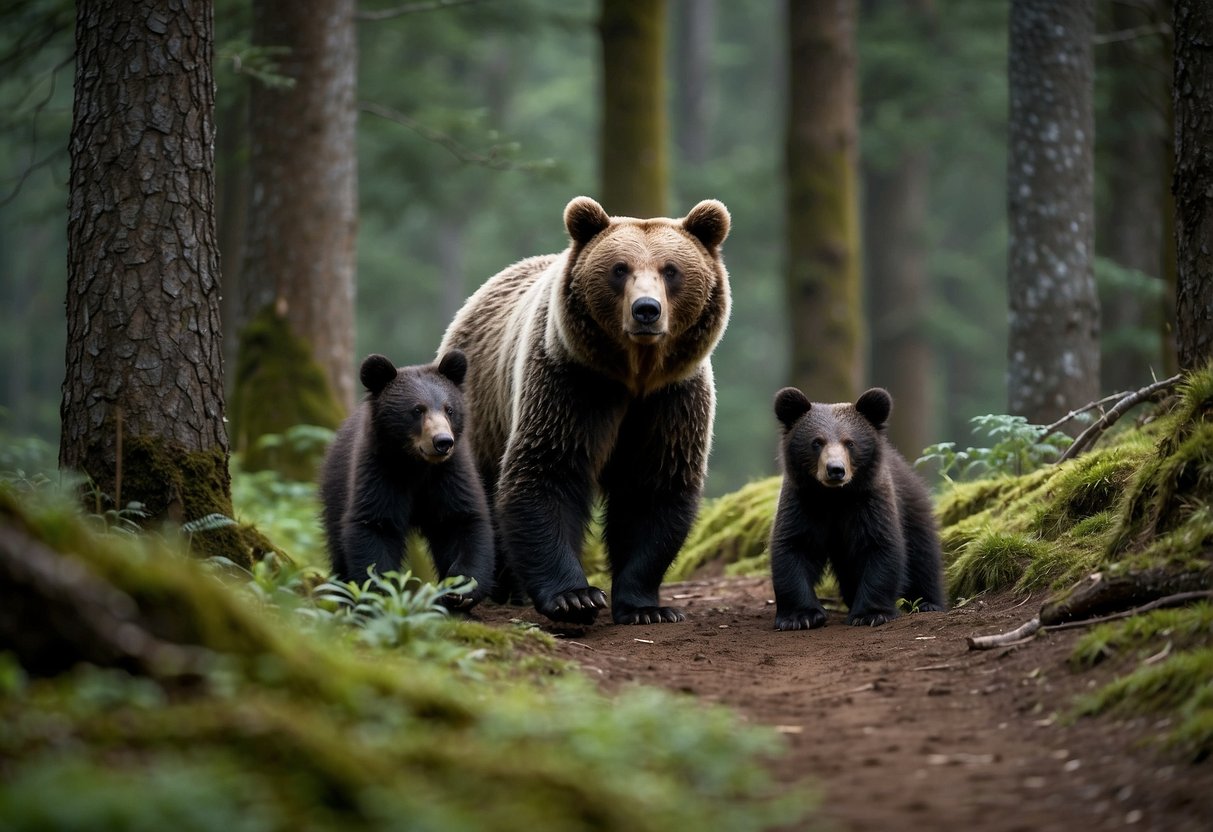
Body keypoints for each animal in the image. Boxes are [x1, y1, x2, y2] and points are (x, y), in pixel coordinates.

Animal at [441, 197, 732, 625]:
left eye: (671, 270)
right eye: (619, 269)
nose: (647, 310)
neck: (634, 374)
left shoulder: (671, 399)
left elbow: (652, 488)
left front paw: (647, 608)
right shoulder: (572, 382)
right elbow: (548, 470)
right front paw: (575, 597)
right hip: (481, 406)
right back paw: (492, 588)